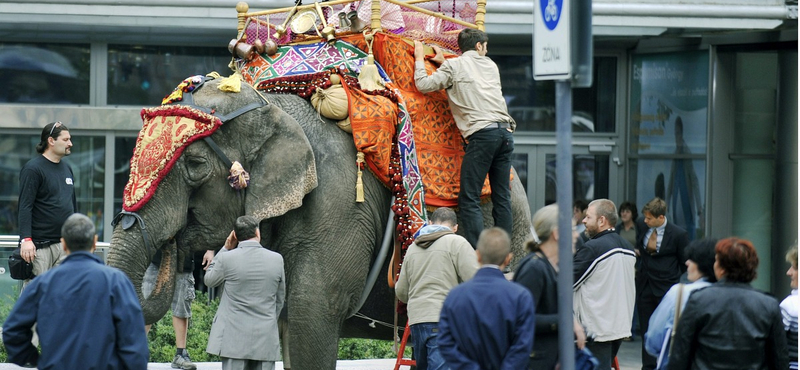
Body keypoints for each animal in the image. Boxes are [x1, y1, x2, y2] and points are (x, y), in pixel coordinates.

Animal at [104, 76, 532, 368]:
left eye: (194, 166)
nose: (173, 245)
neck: (275, 106)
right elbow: (287, 325)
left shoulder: (340, 206)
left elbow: (311, 316)